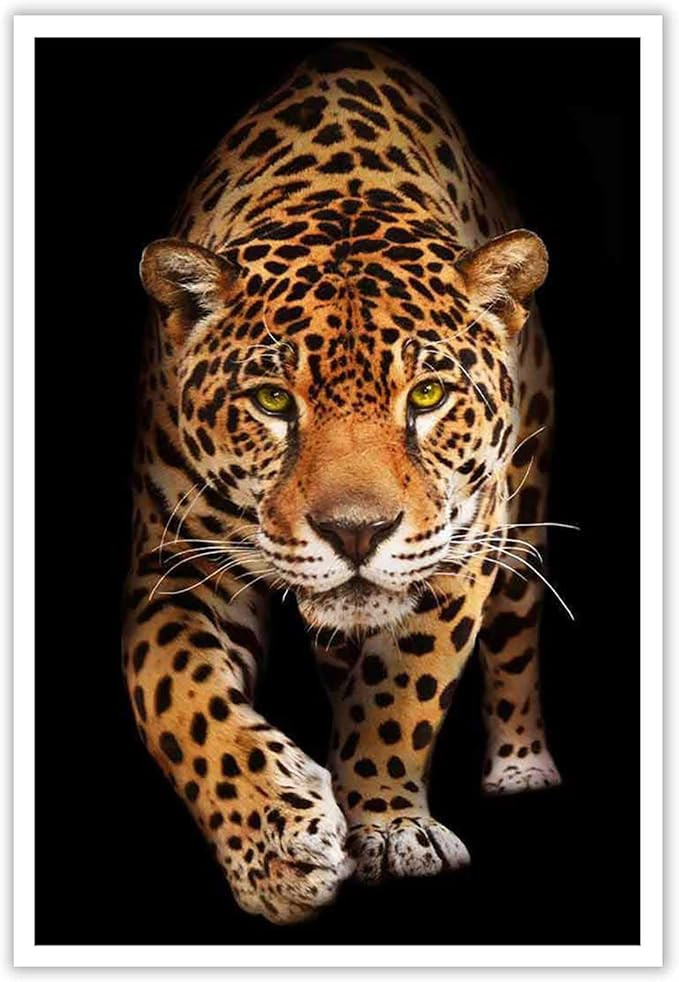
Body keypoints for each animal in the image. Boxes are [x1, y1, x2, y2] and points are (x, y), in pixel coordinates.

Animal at [122, 42, 563, 925]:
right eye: (270, 401)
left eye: (426, 396)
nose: (355, 532)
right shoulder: (174, 566)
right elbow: (178, 694)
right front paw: (276, 846)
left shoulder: (462, 546)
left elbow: (402, 689)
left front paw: (389, 826)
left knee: (514, 637)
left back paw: (522, 766)